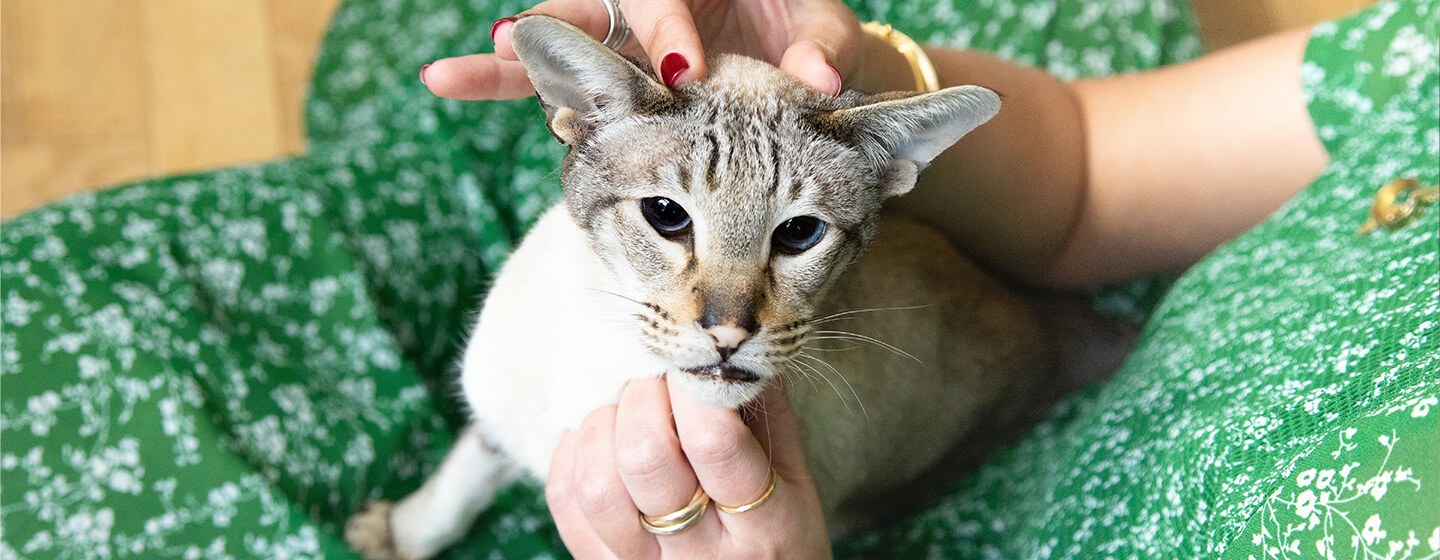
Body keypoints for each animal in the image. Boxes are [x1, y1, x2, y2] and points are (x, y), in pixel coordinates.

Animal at [342, 15, 1054, 555]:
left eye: (800, 233)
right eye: (666, 215)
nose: (729, 334)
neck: (611, 362)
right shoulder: (496, 409)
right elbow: (462, 474)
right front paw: (398, 532)